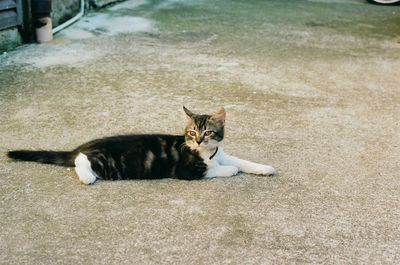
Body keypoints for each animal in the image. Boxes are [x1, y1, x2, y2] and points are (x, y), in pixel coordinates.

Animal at [7, 105, 276, 184]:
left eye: (208, 132)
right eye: (191, 133)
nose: (199, 140)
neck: (208, 153)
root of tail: (86, 144)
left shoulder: (221, 153)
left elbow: (241, 160)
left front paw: (264, 168)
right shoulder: (187, 170)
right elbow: (221, 169)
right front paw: (232, 170)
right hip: (107, 164)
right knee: (80, 160)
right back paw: (86, 176)